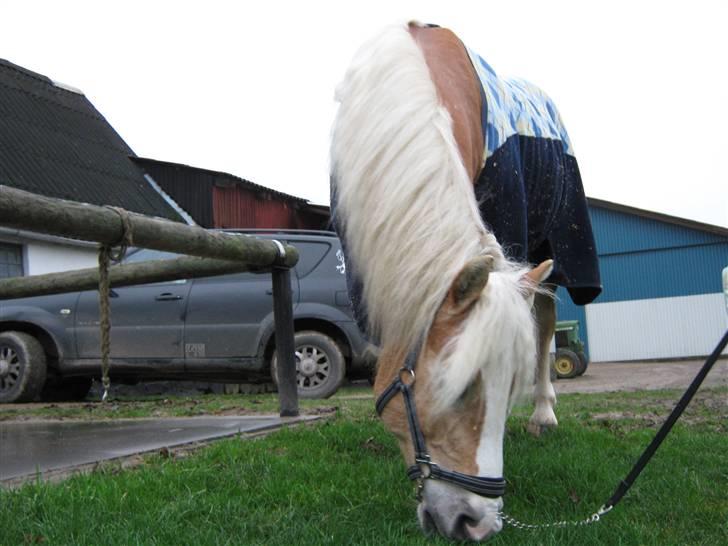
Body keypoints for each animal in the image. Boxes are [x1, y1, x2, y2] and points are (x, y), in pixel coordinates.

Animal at [332, 20, 600, 540]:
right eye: (459, 392)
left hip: (552, 243)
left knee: (544, 322)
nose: (477, 524)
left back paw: (545, 412)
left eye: (508, 388)